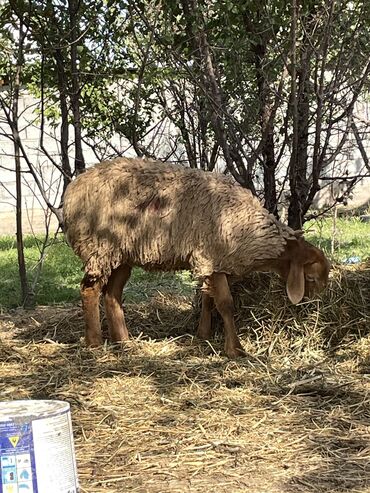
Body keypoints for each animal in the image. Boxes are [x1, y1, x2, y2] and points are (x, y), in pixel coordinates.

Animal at [62, 158, 330, 358]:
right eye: (311, 278)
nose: (316, 309)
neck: (247, 228)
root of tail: (73, 190)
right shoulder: (211, 257)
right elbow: (226, 304)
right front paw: (235, 349)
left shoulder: (212, 263)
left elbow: (208, 301)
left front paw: (203, 334)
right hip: (100, 248)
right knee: (90, 289)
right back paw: (95, 342)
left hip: (121, 254)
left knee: (112, 294)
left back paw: (124, 341)